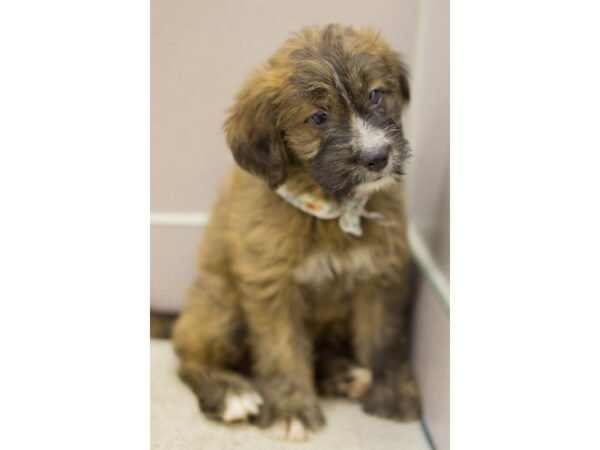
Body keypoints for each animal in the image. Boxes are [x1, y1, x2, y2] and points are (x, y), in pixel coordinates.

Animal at [171, 23, 420, 440]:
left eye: (375, 94)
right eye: (317, 118)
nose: (377, 158)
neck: (331, 209)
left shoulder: (379, 273)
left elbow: (384, 338)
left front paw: (393, 393)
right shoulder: (272, 285)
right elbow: (282, 349)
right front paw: (291, 409)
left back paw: (344, 374)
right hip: (222, 302)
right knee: (187, 356)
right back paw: (229, 390)